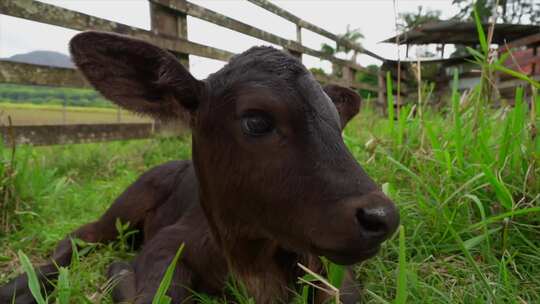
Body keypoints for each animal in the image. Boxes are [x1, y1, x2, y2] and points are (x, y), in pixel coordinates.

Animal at [0, 31, 396, 304]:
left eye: (337, 123)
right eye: (256, 121)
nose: (381, 218)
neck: (252, 265)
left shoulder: (331, 269)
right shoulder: (165, 245)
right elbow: (152, 293)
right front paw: (118, 271)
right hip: (123, 209)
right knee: (80, 237)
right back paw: (22, 284)